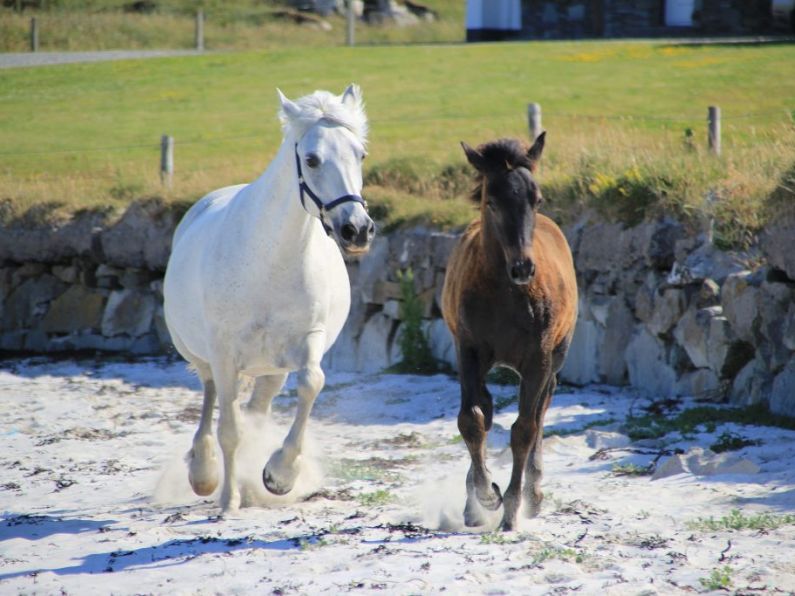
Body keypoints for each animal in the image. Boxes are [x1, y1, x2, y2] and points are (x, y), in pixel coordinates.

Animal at [165, 85, 376, 512]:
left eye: (360, 154)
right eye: (311, 159)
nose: (357, 230)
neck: (269, 262)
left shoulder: (307, 341)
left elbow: (312, 383)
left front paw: (279, 475)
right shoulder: (225, 353)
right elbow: (229, 428)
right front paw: (227, 501)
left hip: (270, 370)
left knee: (255, 410)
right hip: (204, 354)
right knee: (211, 394)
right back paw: (205, 473)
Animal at [442, 135, 580, 532]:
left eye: (537, 199)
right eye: (491, 199)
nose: (522, 268)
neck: (504, 293)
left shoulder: (539, 358)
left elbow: (524, 429)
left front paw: (512, 507)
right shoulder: (467, 350)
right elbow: (471, 420)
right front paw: (485, 496)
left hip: (555, 357)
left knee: (542, 409)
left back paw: (533, 492)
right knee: (485, 409)